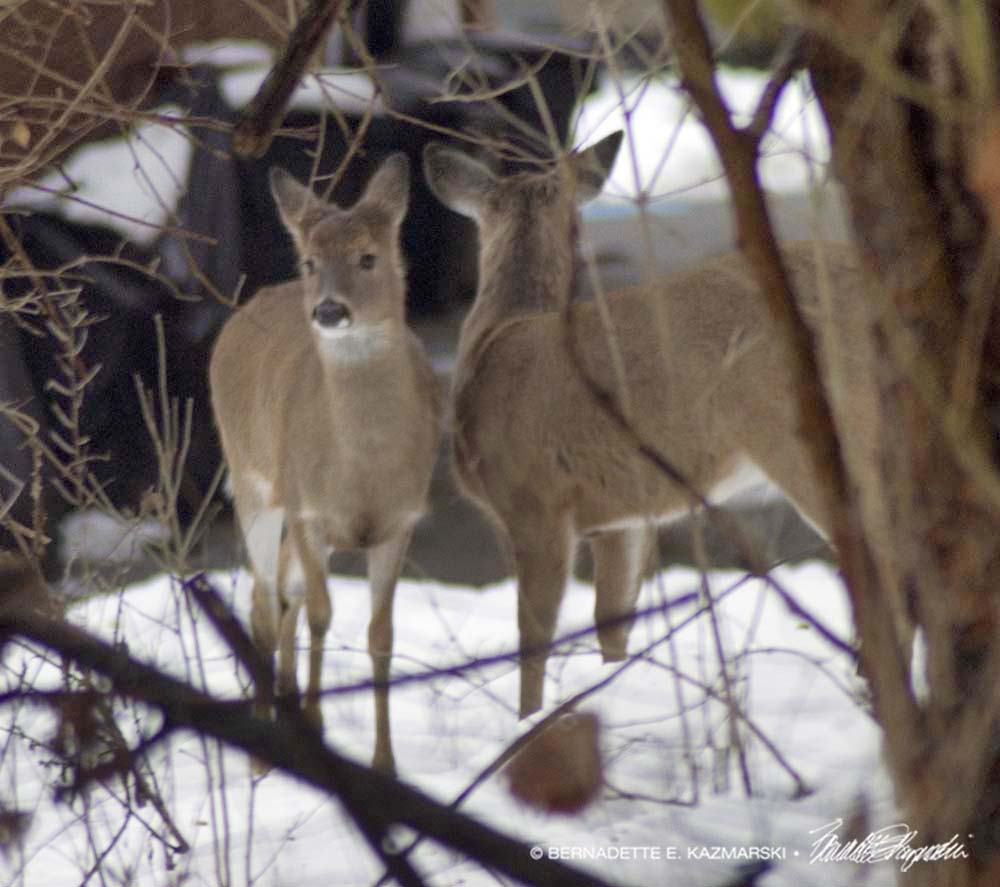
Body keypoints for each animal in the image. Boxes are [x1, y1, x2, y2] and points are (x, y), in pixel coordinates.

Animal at [209, 154, 442, 773]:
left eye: (368, 256)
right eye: (311, 262)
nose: (330, 310)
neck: (362, 471)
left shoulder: (400, 521)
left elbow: (380, 634)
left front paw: (384, 764)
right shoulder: (306, 508)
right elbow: (320, 614)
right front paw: (315, 726)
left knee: (281, 595)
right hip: (252, 478)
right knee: (265, 601)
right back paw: (264, 745)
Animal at [423, 132, 887, 719]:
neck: (496, 337)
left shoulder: (533, 498)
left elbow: (535, 635)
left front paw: (529, 720)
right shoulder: (623, 516)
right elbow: (611, 622)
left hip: (798, 431)